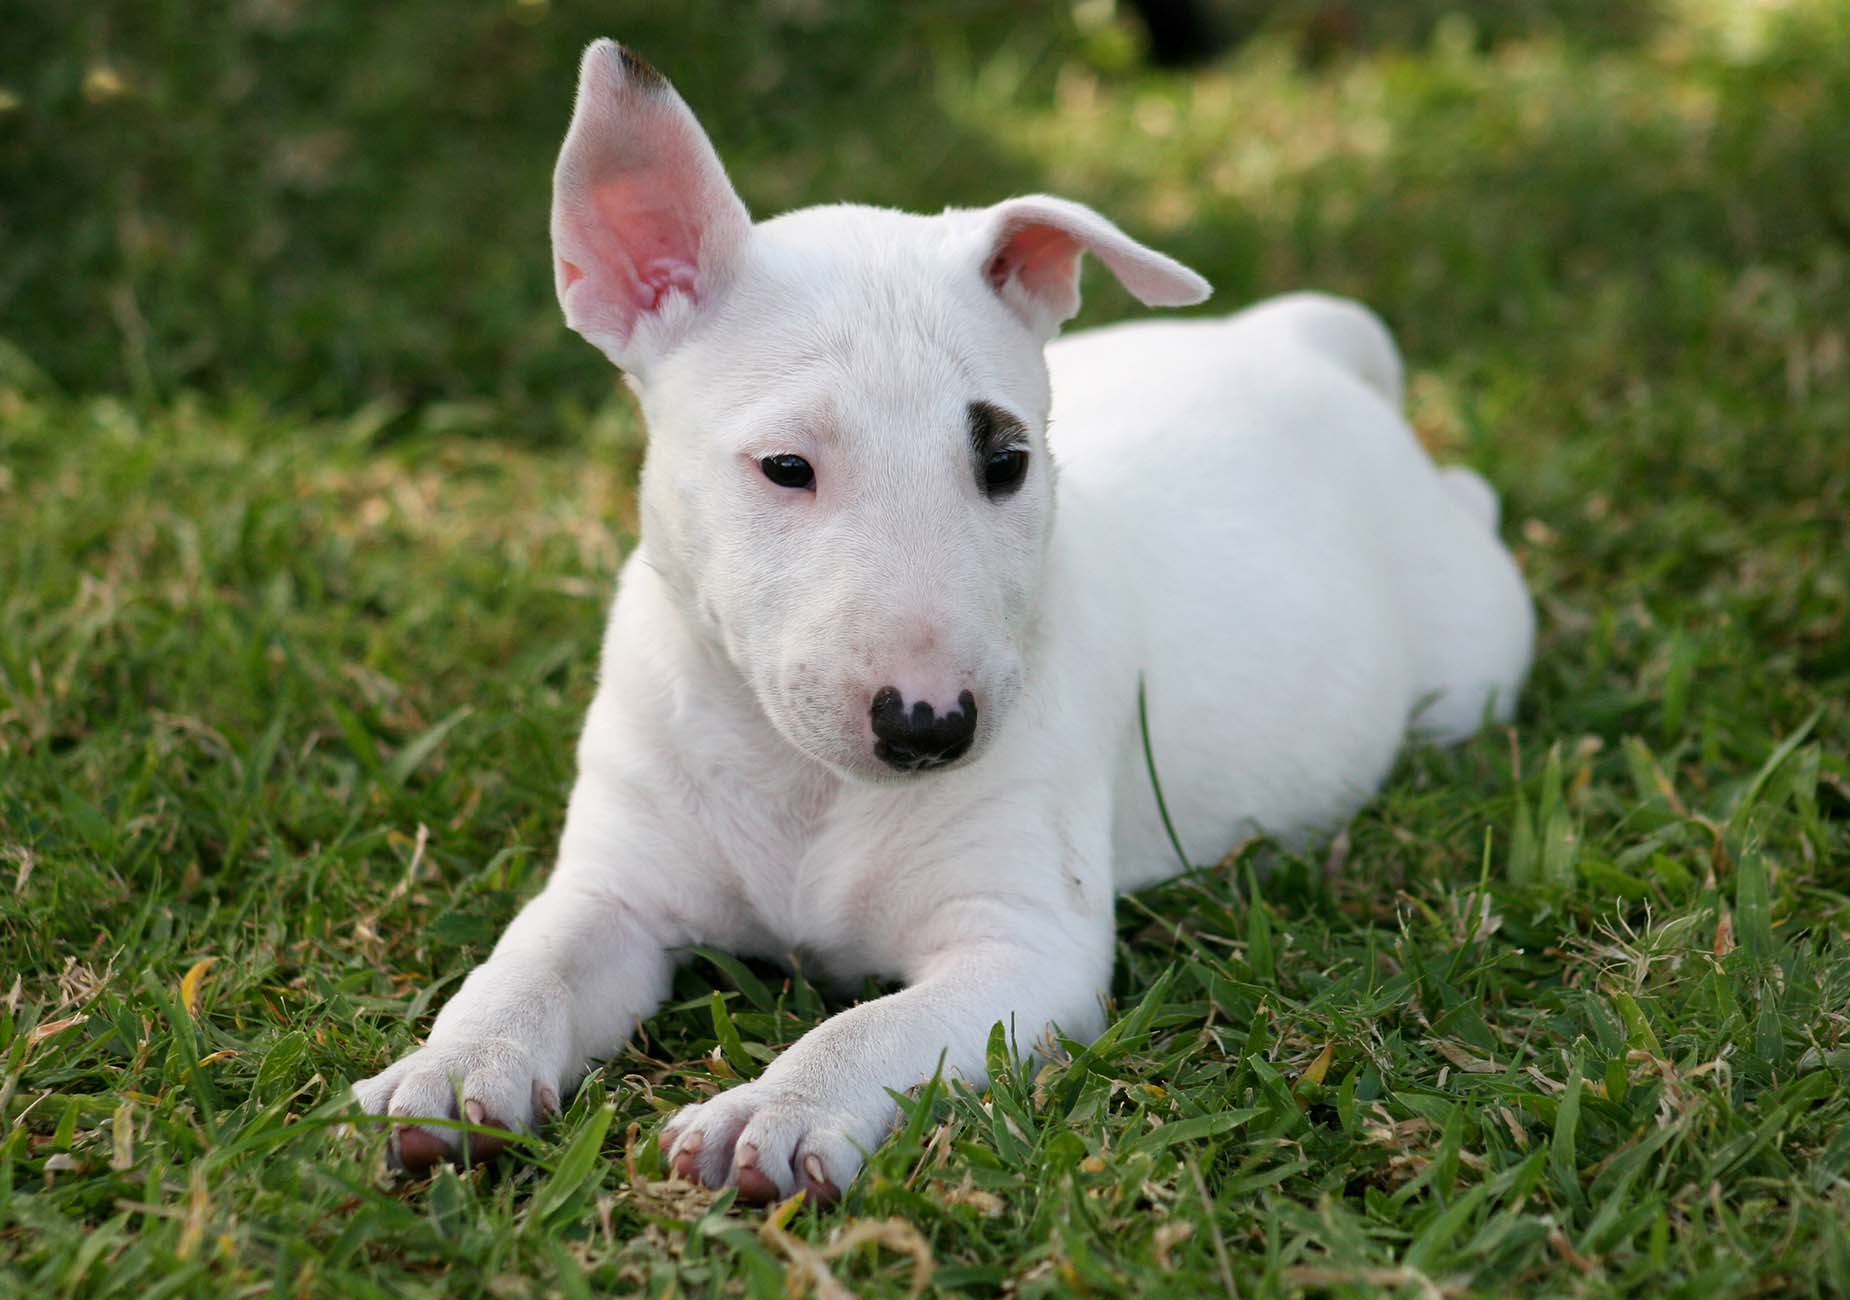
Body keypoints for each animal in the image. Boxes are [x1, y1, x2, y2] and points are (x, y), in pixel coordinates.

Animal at [353, 40, 1539, 1213]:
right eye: (786, 466)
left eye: (1006, 461)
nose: (930, 728)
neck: (804, 781)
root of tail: (1295, 342)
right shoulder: (617, 886)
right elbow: (531, 963)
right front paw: (451, 1068)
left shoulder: (1021, 947)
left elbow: (875, 1024)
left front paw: (773, 1110)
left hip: (1471, 645)